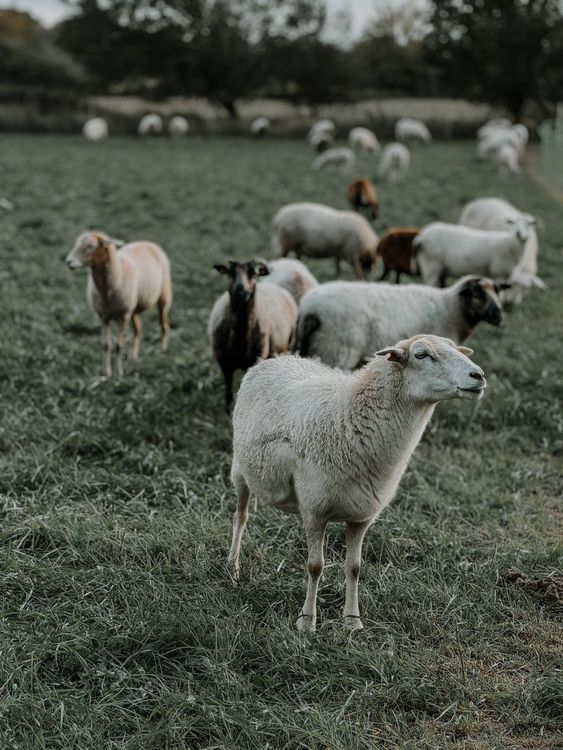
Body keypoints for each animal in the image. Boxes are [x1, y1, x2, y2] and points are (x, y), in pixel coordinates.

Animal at [65, 231, 172, 377]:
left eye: (90, 246)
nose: (68, 262)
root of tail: (147, 242)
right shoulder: (104, 316)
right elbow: (106, 345)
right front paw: (106, 372)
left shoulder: (123, 316)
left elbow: (119, 345)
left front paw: (119, 373)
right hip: (133, 309)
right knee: (138, 330)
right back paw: (134, 357)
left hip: (163, 297)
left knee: (164, 325)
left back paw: (162, 351)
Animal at [208, 260, 298, 409]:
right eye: (230, 273)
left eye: (253, 274)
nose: (241, 292)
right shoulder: (224, 363)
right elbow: (228, 395)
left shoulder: (255, 361)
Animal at [227, 334, 486, 630]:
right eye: (422, 355)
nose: (478, 376)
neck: (349, 419)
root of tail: (279, 358)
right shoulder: (315, 510)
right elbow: (315, 566)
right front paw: (307, 621)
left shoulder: (362, 515)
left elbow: (354, 567)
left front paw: (352, 621)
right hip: (239, 470)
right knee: (241, 517)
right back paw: (233, 568)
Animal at [296, 275, 506, 370]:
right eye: (477, 294)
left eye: (498, 291)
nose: (499, 316)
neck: (450, 308)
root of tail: (309, 308)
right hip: (336, 349)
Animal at [413, 220, 544, 290]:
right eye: (513, 223)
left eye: (529, 224)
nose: (519, 233)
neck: (509, 243)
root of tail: (421, 236)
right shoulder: (498, 274)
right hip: (431, 265)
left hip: (439, 268)